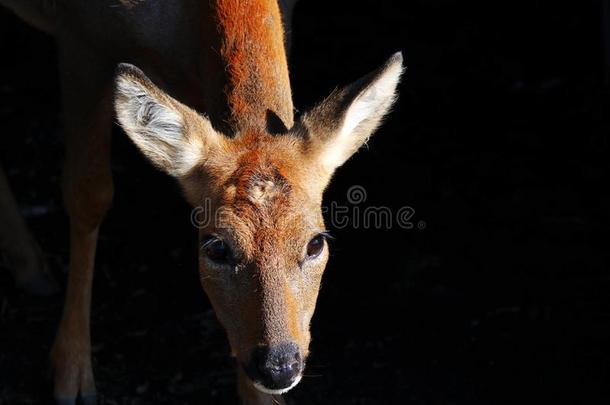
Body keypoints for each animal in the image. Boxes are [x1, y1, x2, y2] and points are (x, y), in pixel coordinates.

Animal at [1, 0, 404, 404]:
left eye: (316, 242)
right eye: (216, 248)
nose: (279, 366)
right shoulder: (80, 37)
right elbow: (88, 192)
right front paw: (71, 373)